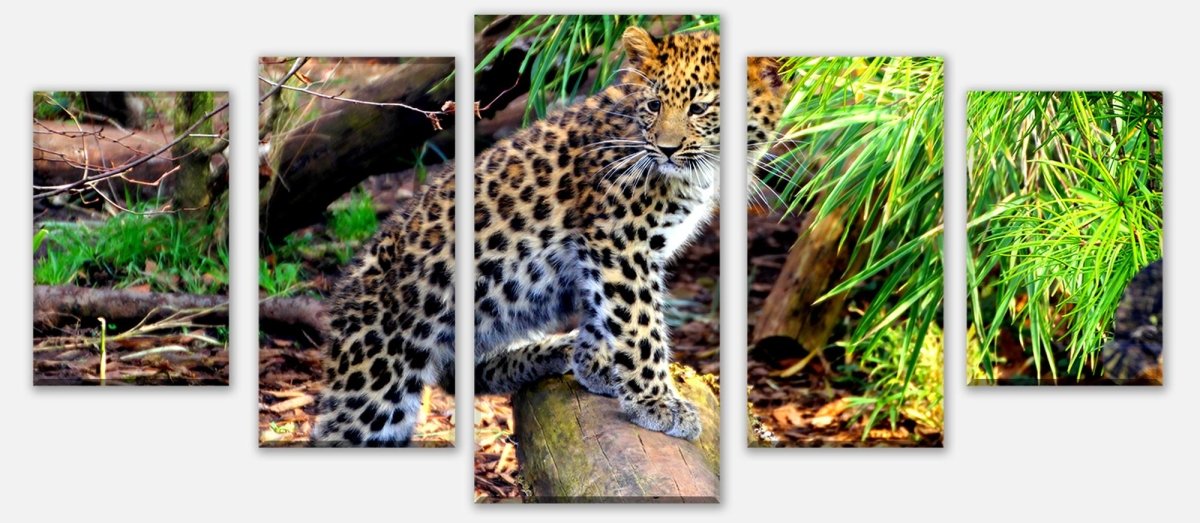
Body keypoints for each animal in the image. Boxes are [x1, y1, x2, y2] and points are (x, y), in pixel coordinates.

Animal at [311, 26, 720, 446]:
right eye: (655, 105)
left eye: (697, 108)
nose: (667, 148)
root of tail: (342, 295)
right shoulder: (619, 243)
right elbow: (638, 323)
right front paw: (656, 402)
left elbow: (607, 314)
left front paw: (598, 365)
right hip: (378, 386)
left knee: (463, 374)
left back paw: (555, 349)